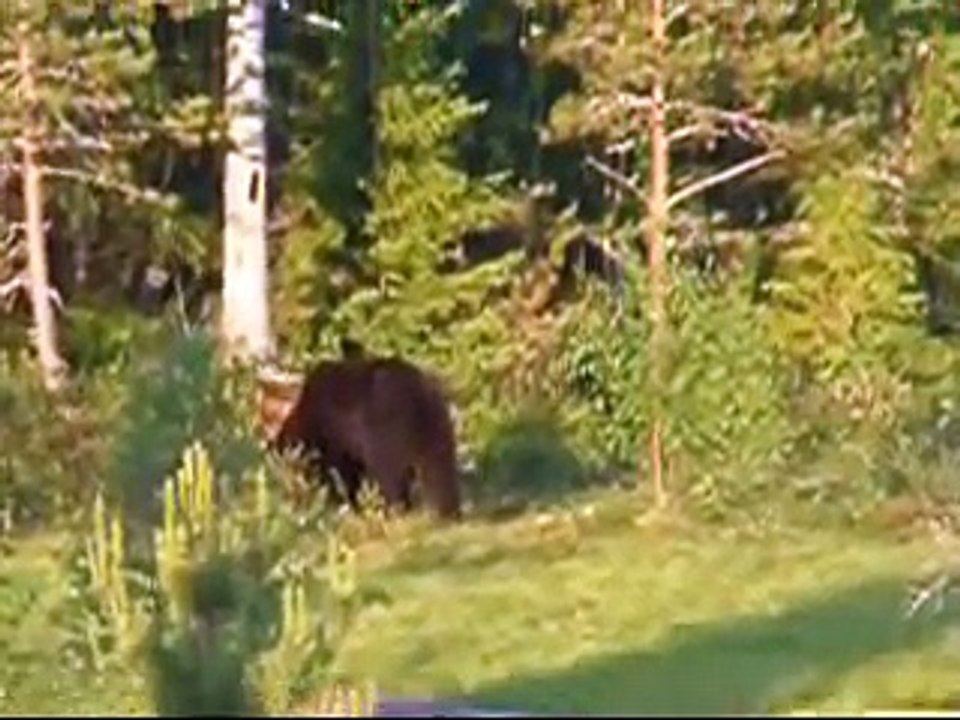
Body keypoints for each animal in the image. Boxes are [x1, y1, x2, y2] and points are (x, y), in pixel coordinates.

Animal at [256, 349, 462, 522]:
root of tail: (420, 392)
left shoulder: (335, 433)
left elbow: (339, 470)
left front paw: (344, 502)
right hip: (438, 431)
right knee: (442, 473)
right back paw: (447, 513)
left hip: (388, 429)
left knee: (389, 474)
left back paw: (393, 510)